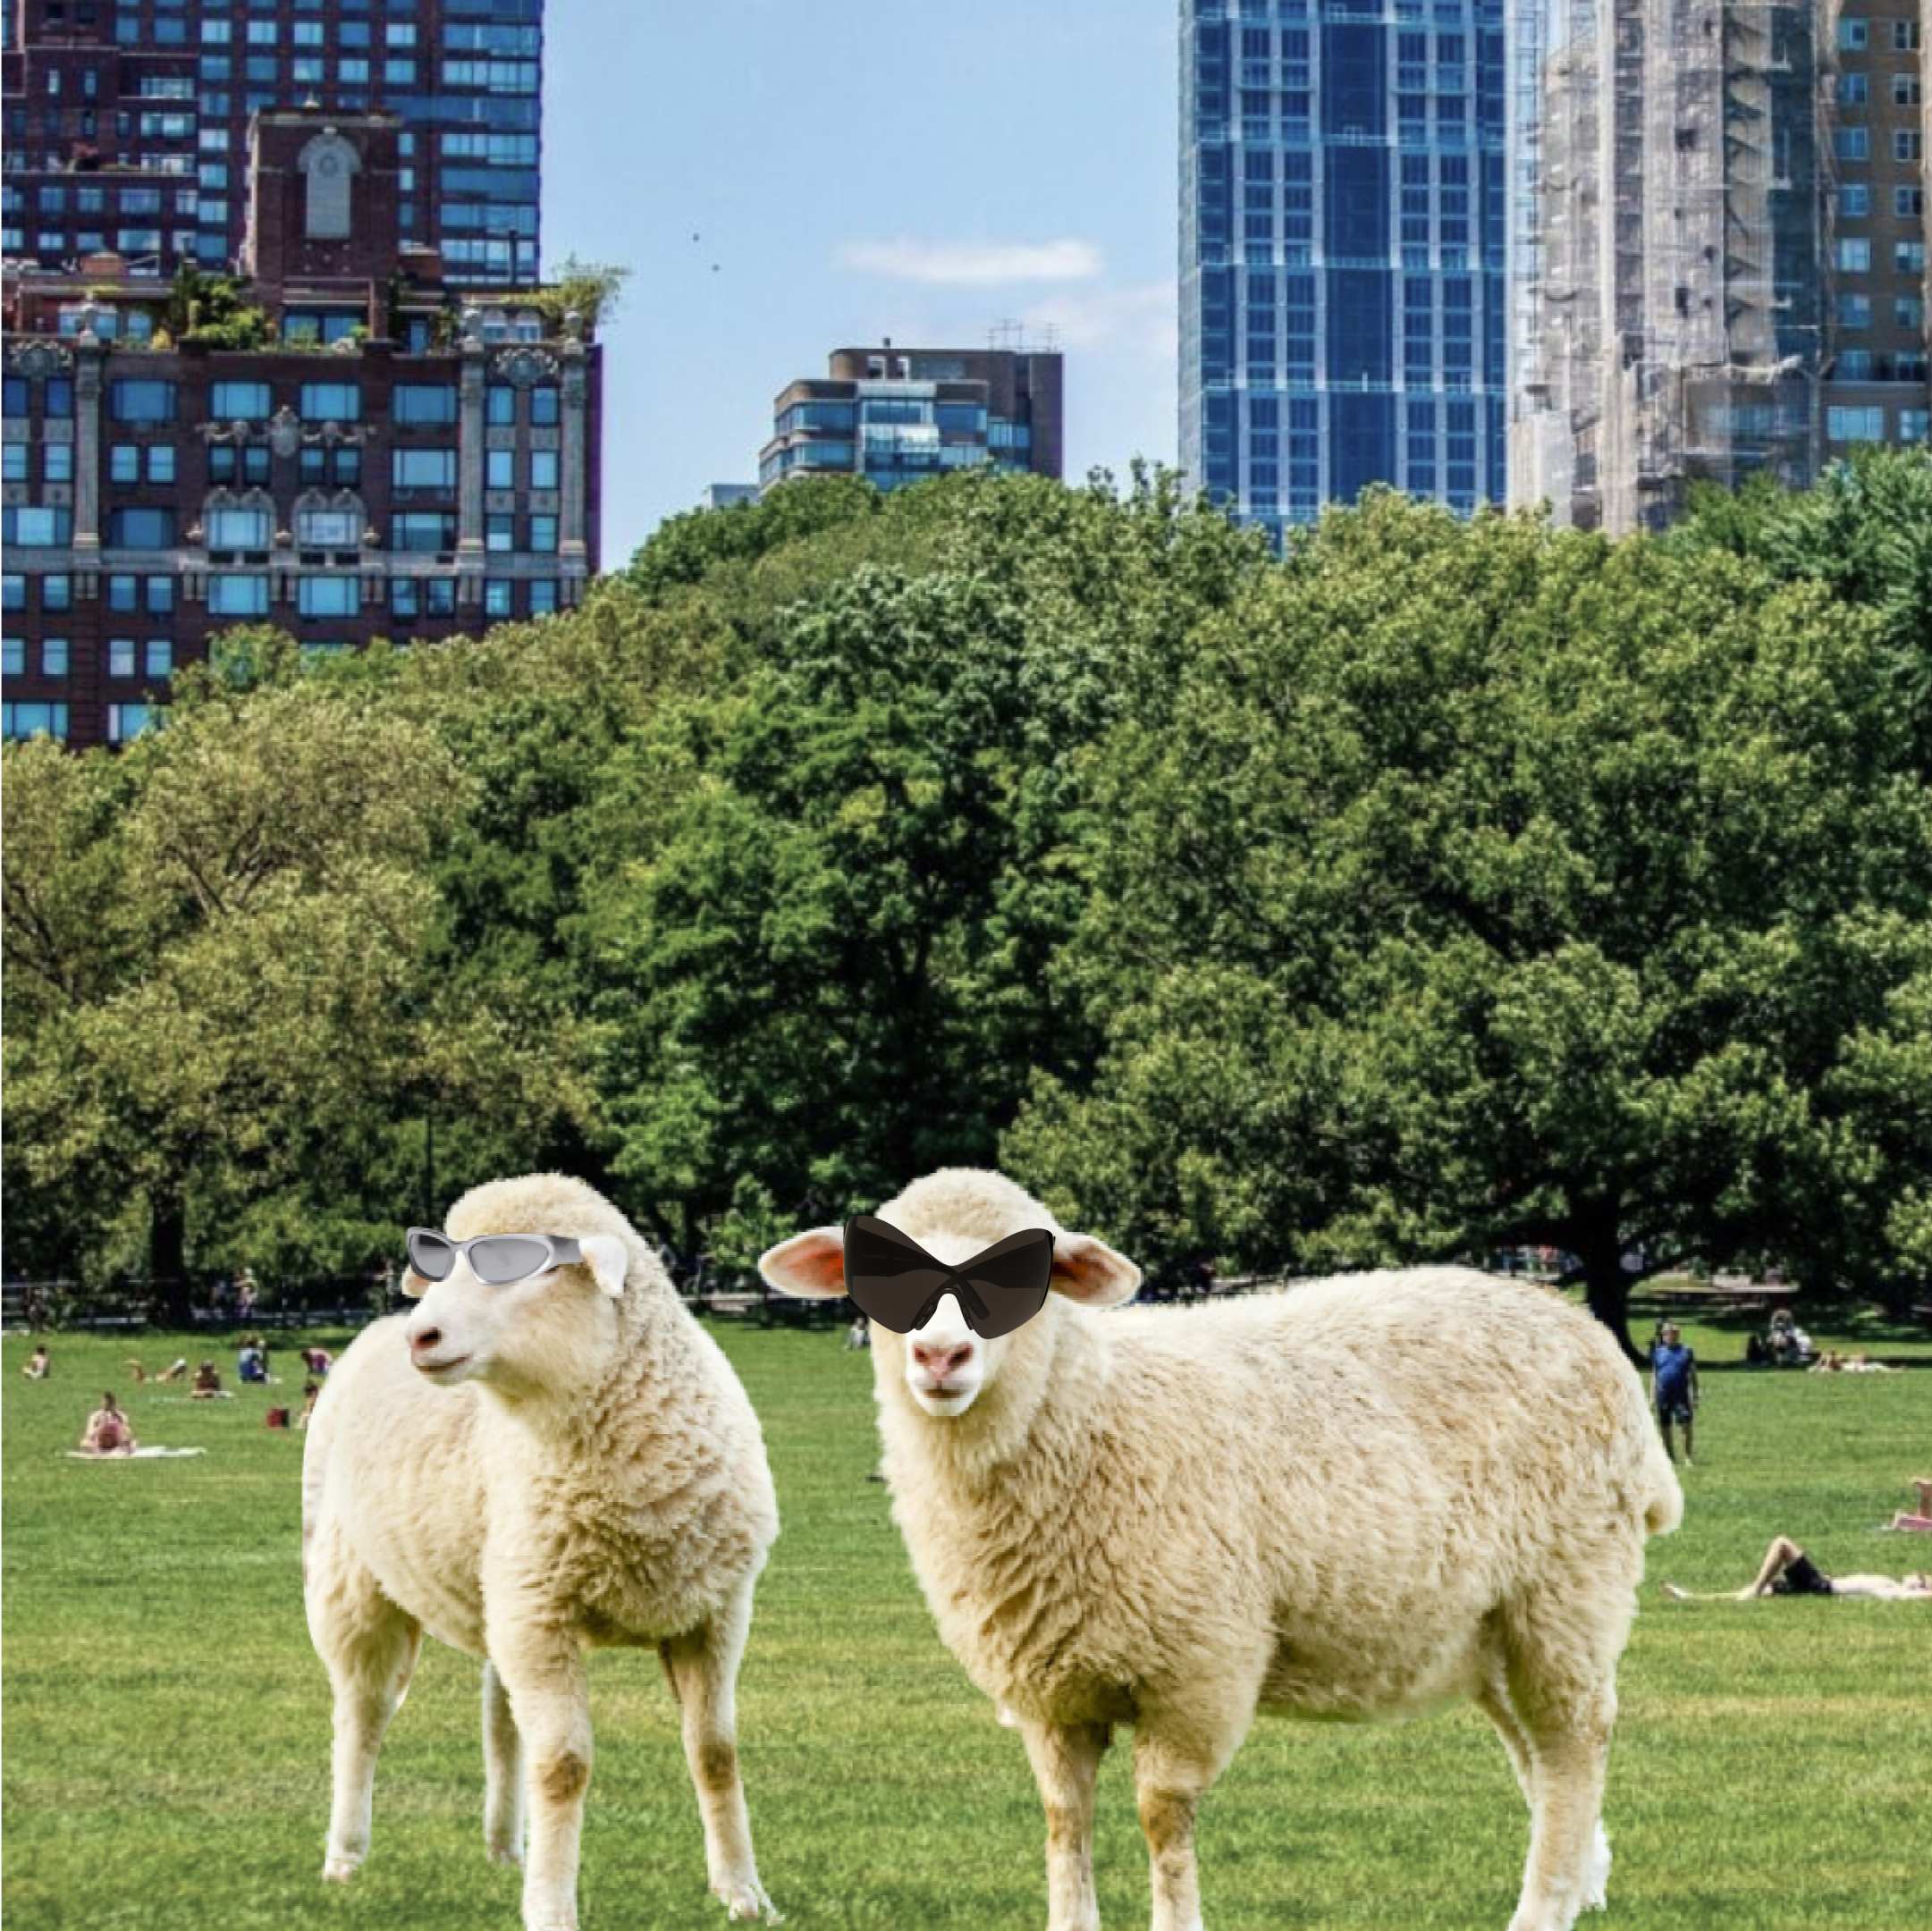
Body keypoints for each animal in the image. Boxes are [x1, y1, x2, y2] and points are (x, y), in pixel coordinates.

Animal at [303, 1172, 783, 1931]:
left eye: (508, 1262)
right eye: (439, 1259)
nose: (421, 1335)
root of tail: (374, 1327)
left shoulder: (712, 1615)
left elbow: (714, 1754)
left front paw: (742, 1893)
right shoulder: (542, 1614)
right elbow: (563, 1766)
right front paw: (553, 1910)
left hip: (503, 1589)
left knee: (499, 1718)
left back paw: (507, 1850)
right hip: (354, 1584)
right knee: (362, 1714)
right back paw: (345, 1856)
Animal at [760, 1168, 1682, 1931]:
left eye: (1029, 1277)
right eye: (878, 1274)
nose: (939, 1355)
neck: (1089, 1415)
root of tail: (1580, 1325)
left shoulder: (1194, 1671)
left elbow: (1161, 1817)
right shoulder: (1049, 1689)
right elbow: (1064, 1819)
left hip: (1568, 1590)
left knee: (1574, 1739)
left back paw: (1546, 1906)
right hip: (1488, 1625)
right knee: (1538, 1752)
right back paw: (1584, 1881)